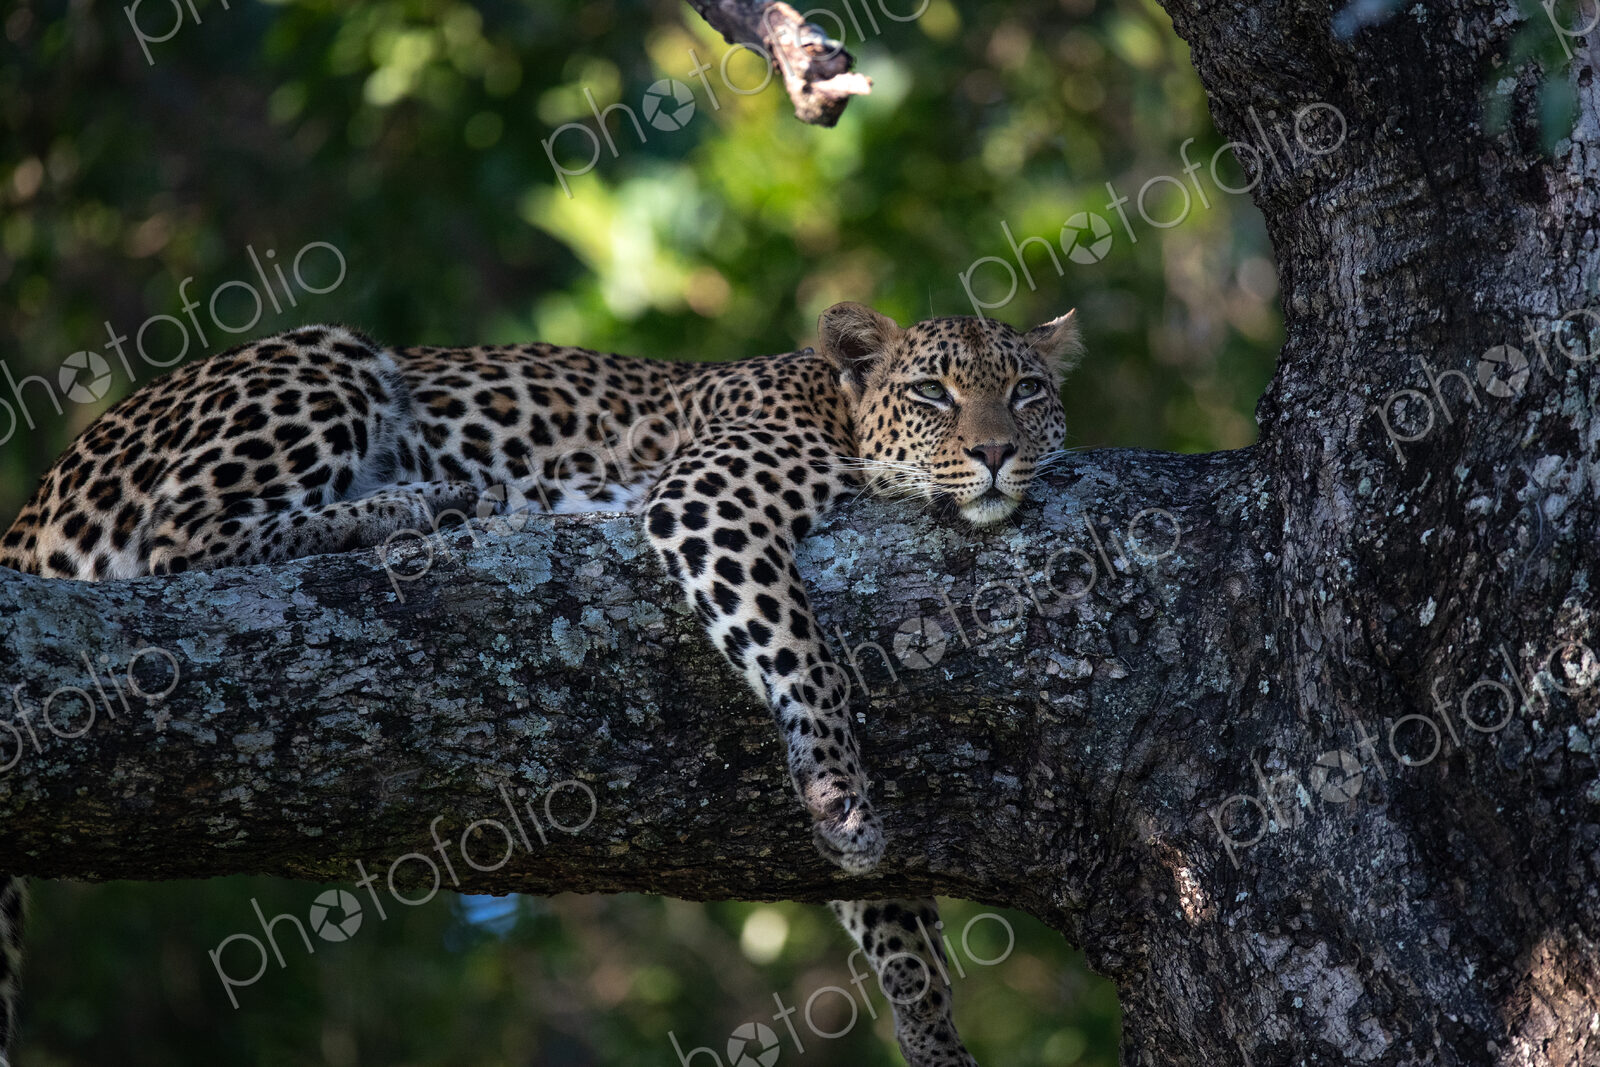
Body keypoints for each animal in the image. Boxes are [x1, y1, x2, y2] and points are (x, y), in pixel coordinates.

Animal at [0, 300, 1082, 1067]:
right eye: (934, 392)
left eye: (1028, 390)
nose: (996, 452)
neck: (836, 409)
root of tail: (37, 499)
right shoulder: (708, 499)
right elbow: (800, 650)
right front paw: (837, 785)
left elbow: (895, 919)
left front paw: (931, 1028)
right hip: (323, 356)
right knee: (184, 535)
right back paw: (424, 502)